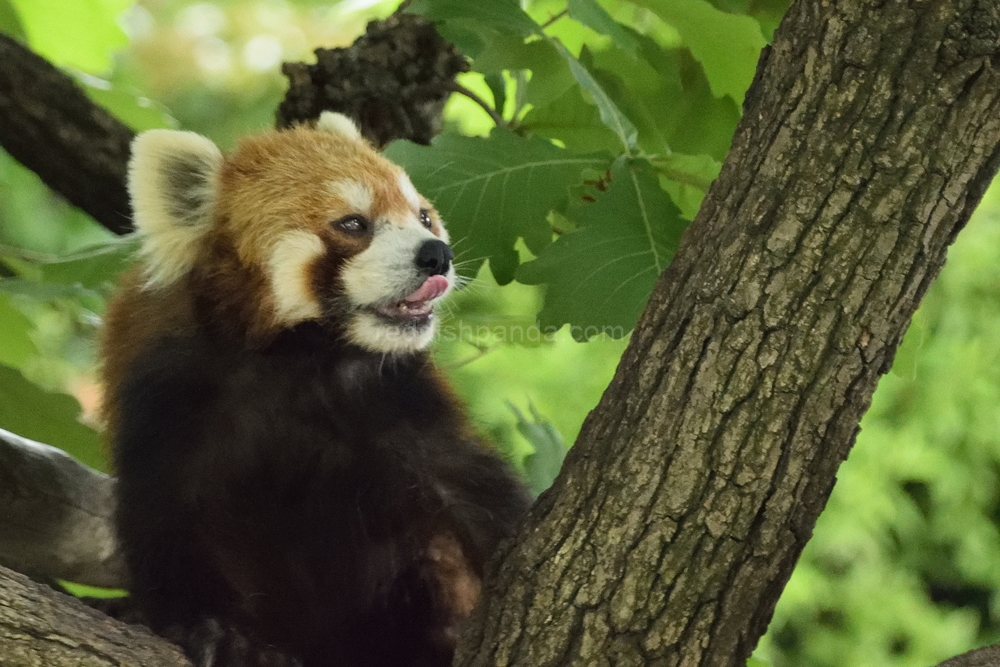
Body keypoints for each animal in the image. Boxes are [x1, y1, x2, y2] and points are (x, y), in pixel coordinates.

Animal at [103, 112, 532, 664]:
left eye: (423, 217)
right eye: (353, 224)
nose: (437, 254)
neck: (297, 358)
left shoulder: (391, 393)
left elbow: (464, 480)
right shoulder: (169, 390)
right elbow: (167, 518)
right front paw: (211, 628)